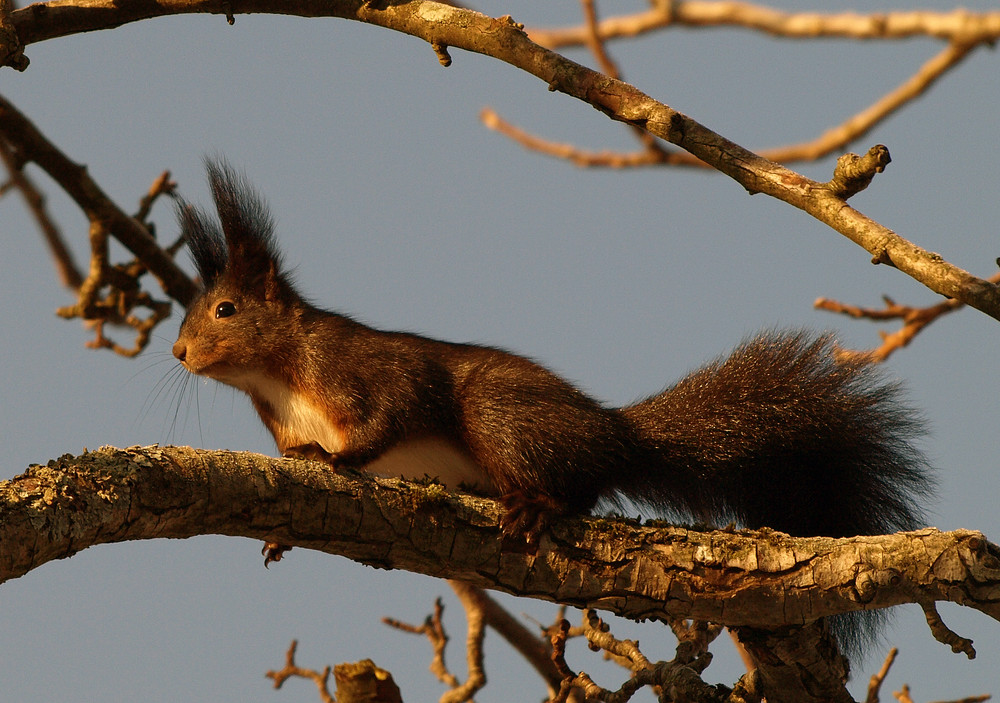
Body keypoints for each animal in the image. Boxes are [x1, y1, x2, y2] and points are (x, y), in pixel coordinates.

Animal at [172, 162, 928, 652]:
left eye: (225, 309)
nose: (179, 351)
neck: (277, 376)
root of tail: (614, 433)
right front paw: (283, 523)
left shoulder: (361, 368)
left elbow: (392, 411)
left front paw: (343, 458)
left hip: (500, 414)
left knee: (575, 485)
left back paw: (534, 505)